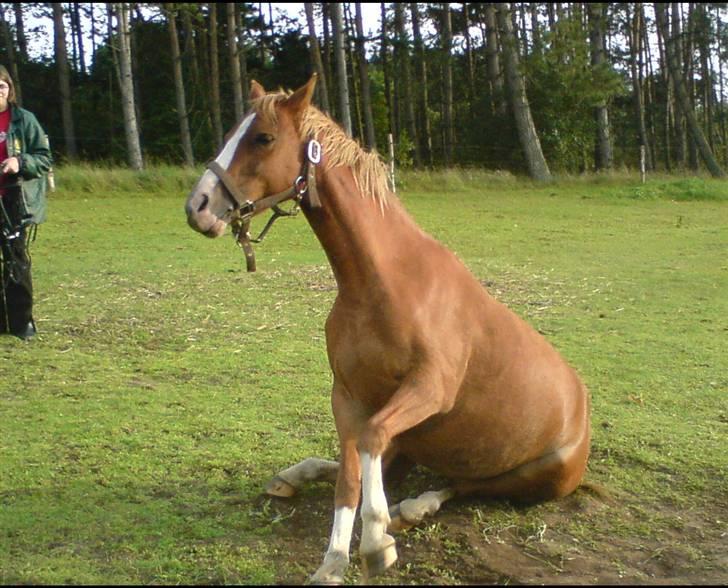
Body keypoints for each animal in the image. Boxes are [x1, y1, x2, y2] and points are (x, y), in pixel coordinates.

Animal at [184, 75, 591, 584]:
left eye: (263, 138)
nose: (198, 207)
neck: (384, 283)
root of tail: (580, 405)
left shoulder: (430, 389)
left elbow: (370, 441)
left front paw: (376, 542)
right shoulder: (348, 396)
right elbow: (350, 475)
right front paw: (333, 561)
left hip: (542, 473)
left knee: (471, 483)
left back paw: (413, 508)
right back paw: (299, 479)